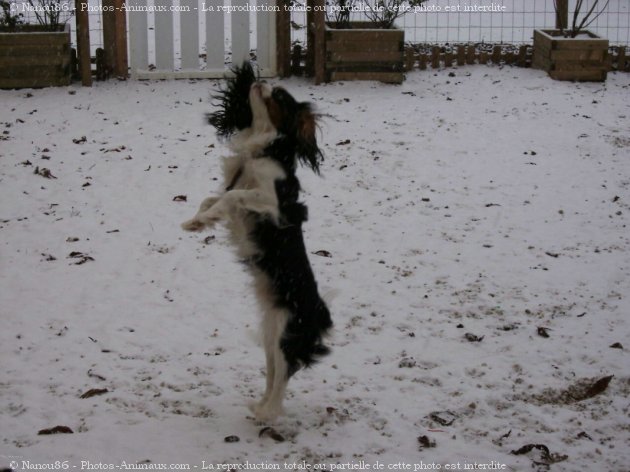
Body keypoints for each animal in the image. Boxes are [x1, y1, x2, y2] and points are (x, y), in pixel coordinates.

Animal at [181, 61, 334, 420]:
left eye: (278, 96)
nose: (262, 81)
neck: (263, 148)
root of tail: (321, 314)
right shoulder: (237, 186)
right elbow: (212, 198)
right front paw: (197, 221)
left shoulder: (273, 203)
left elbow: (232, 195)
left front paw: (206, 218)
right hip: (270, 336)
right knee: (274, 373)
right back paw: (260, 406)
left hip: (285, 334)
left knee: (284, 376)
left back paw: (268, 414)